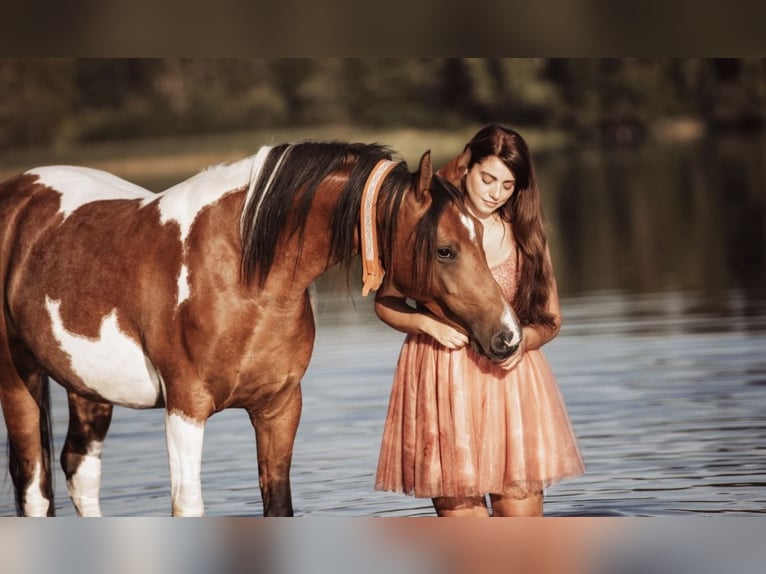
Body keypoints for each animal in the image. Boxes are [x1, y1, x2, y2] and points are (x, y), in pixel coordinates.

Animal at [0, 141, 523, 516]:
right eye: (445, 249)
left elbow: (279, 505)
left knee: (78, 472)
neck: (241, 271)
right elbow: (187, 505)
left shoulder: (279, 408)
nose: (508, 336)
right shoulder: (185, 409)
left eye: (482, 235)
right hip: (18, 379)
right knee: (33, 486)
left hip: (87, 388)